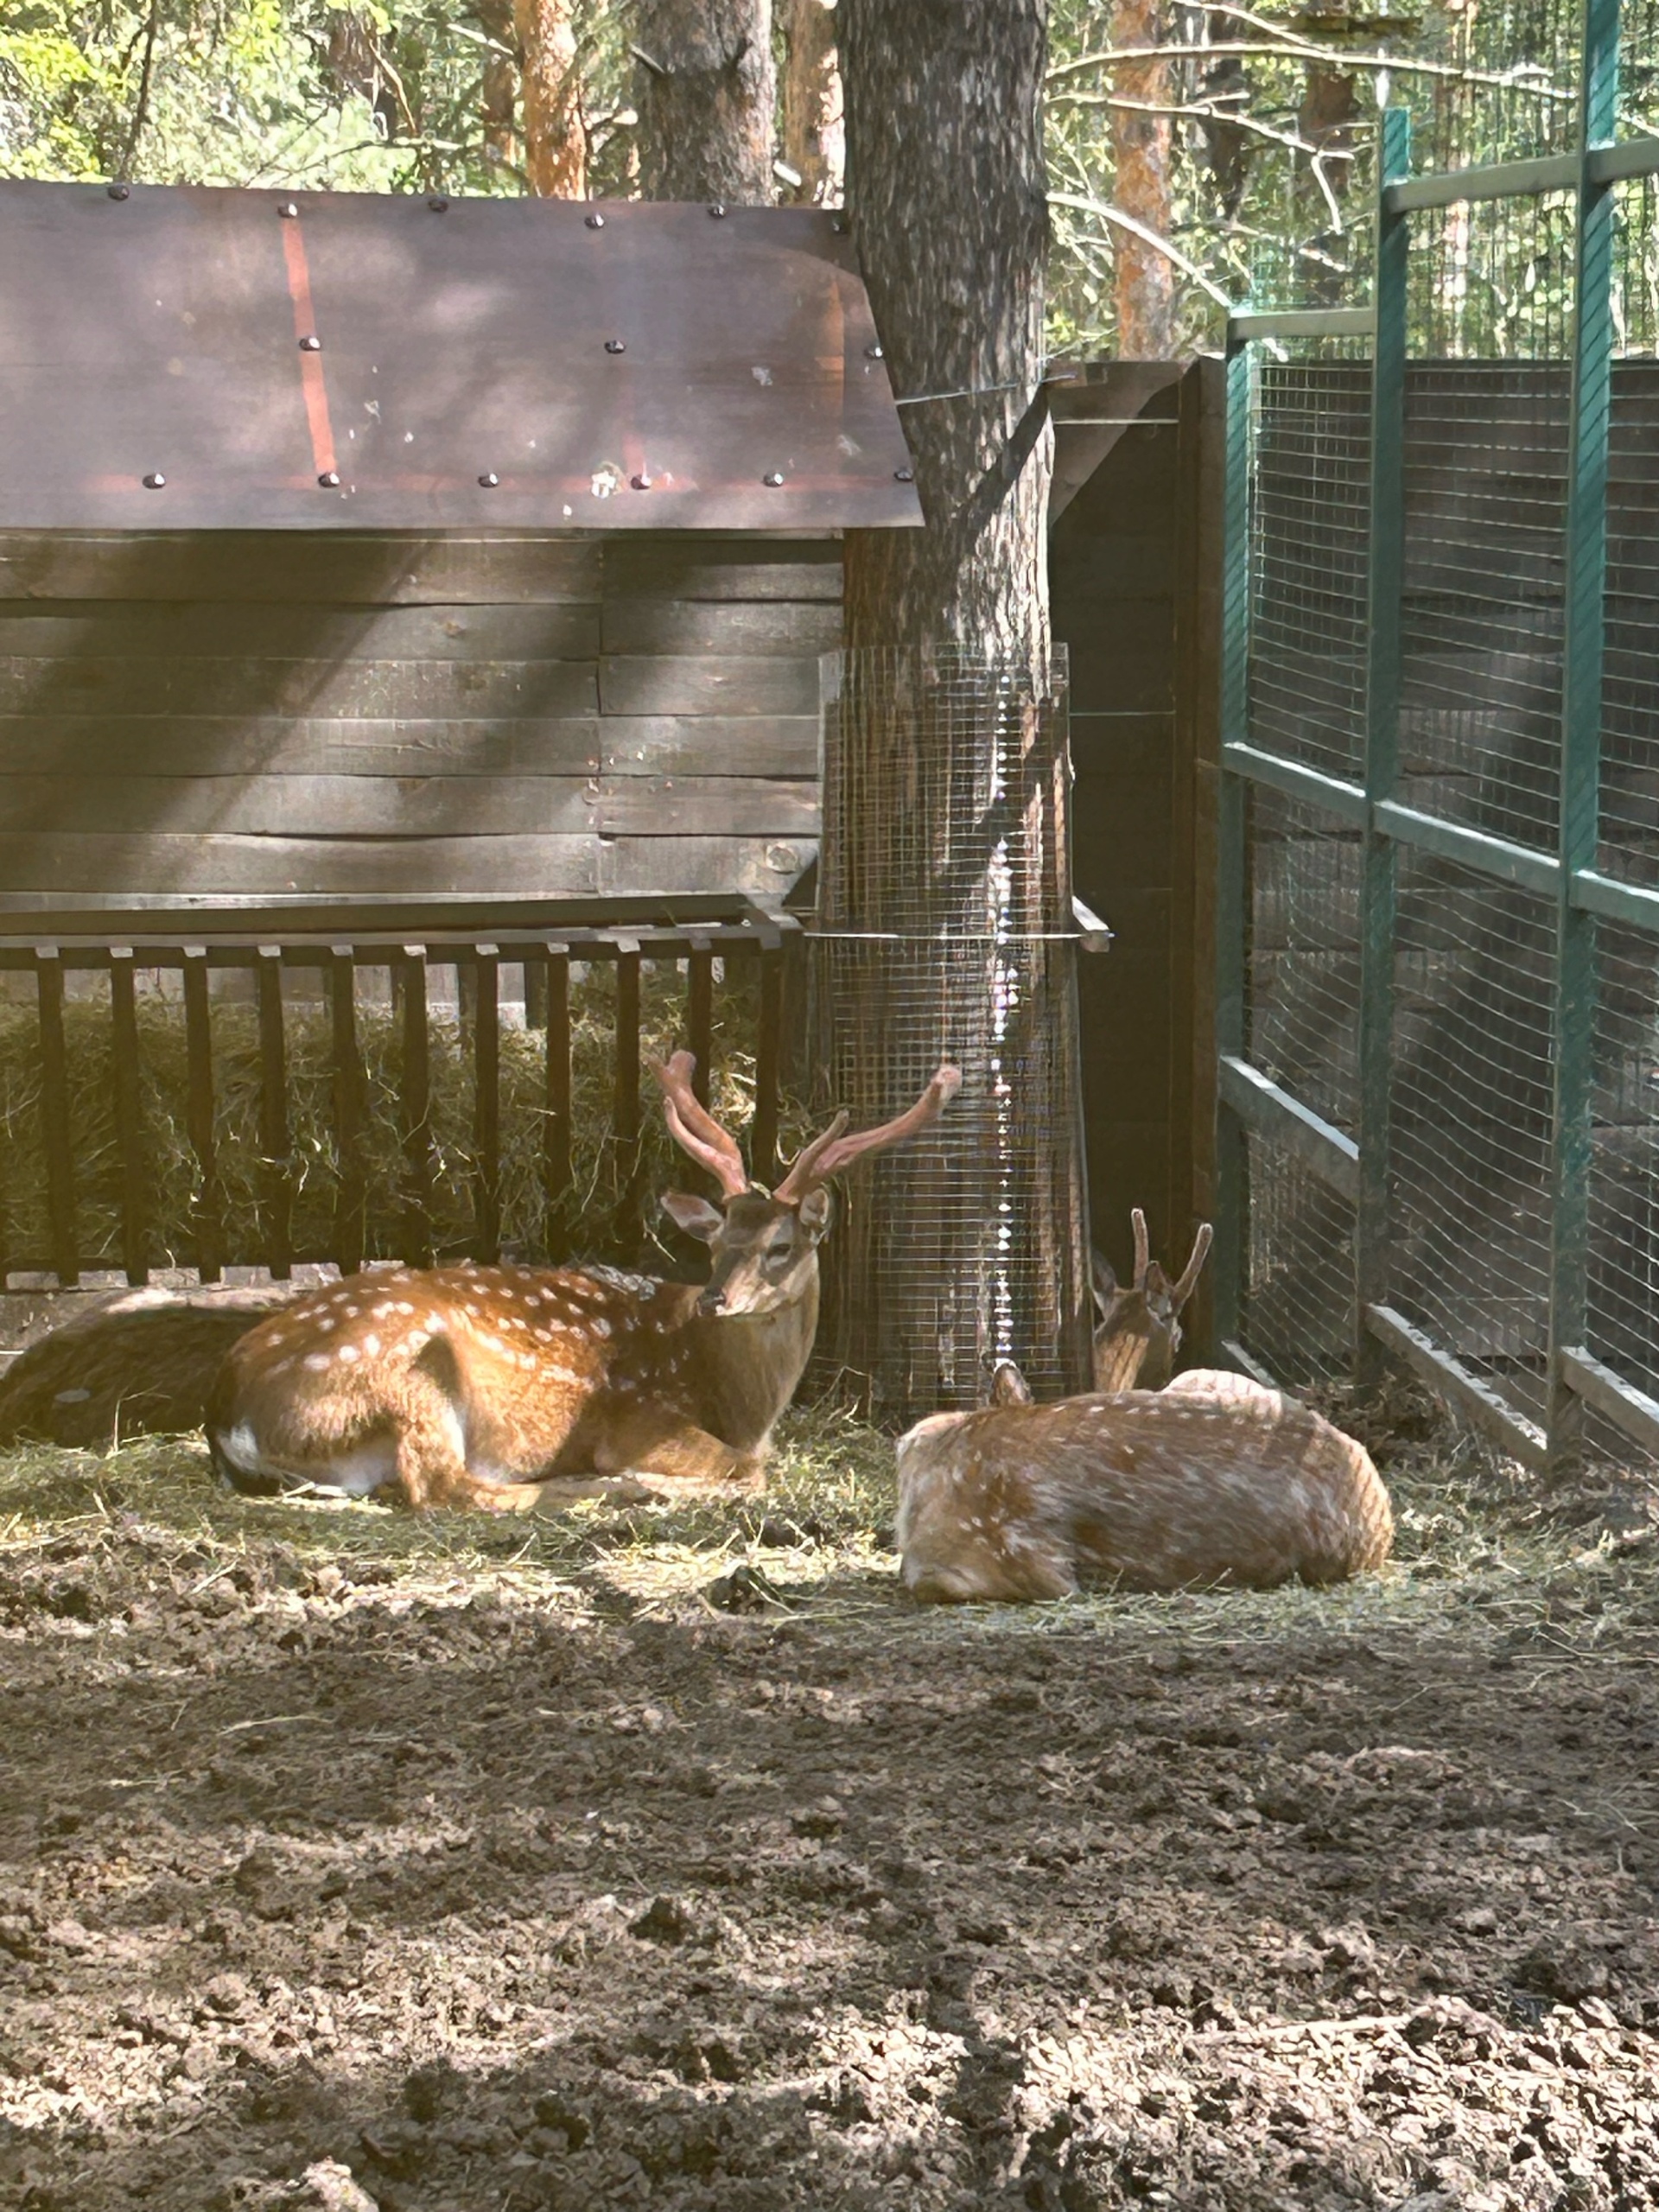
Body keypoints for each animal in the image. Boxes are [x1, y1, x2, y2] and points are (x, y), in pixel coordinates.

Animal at [204, 1048, 960, 1503]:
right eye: (717, 1243)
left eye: (780, 1245)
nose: (716, 1299)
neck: (743, 1402)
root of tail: (229, 1409)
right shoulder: (639, 1416)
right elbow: (749, 1469)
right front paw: (644, 1477)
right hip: (415, 1371)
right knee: (450, 1489)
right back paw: (601, 1487)